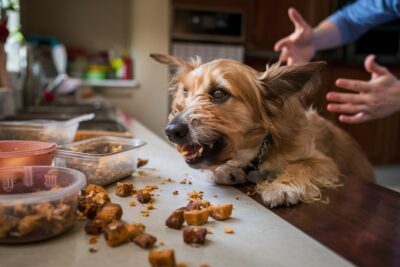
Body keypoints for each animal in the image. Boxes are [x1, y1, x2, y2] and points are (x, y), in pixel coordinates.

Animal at [150, 53, 376, 208]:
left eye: (219, 93)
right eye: (185, 92)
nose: (171, 131)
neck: (259, 148)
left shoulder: (325, 163)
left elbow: (301, 165)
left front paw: (283, 186)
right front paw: (226, 170)